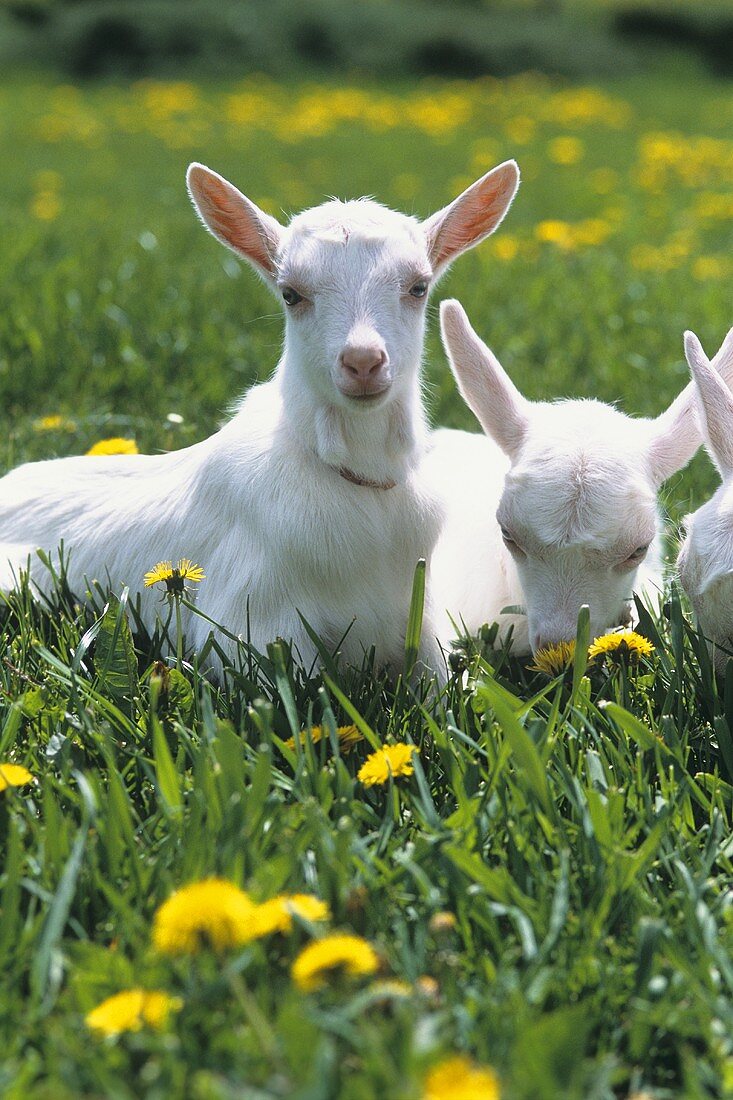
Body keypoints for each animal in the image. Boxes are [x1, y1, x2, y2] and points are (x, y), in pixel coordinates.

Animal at [0, 160, 517, 668]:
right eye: (291, 294)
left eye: (418, 287)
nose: (363, 362)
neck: (361, 484)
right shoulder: (255, 626)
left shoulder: (421, 624)